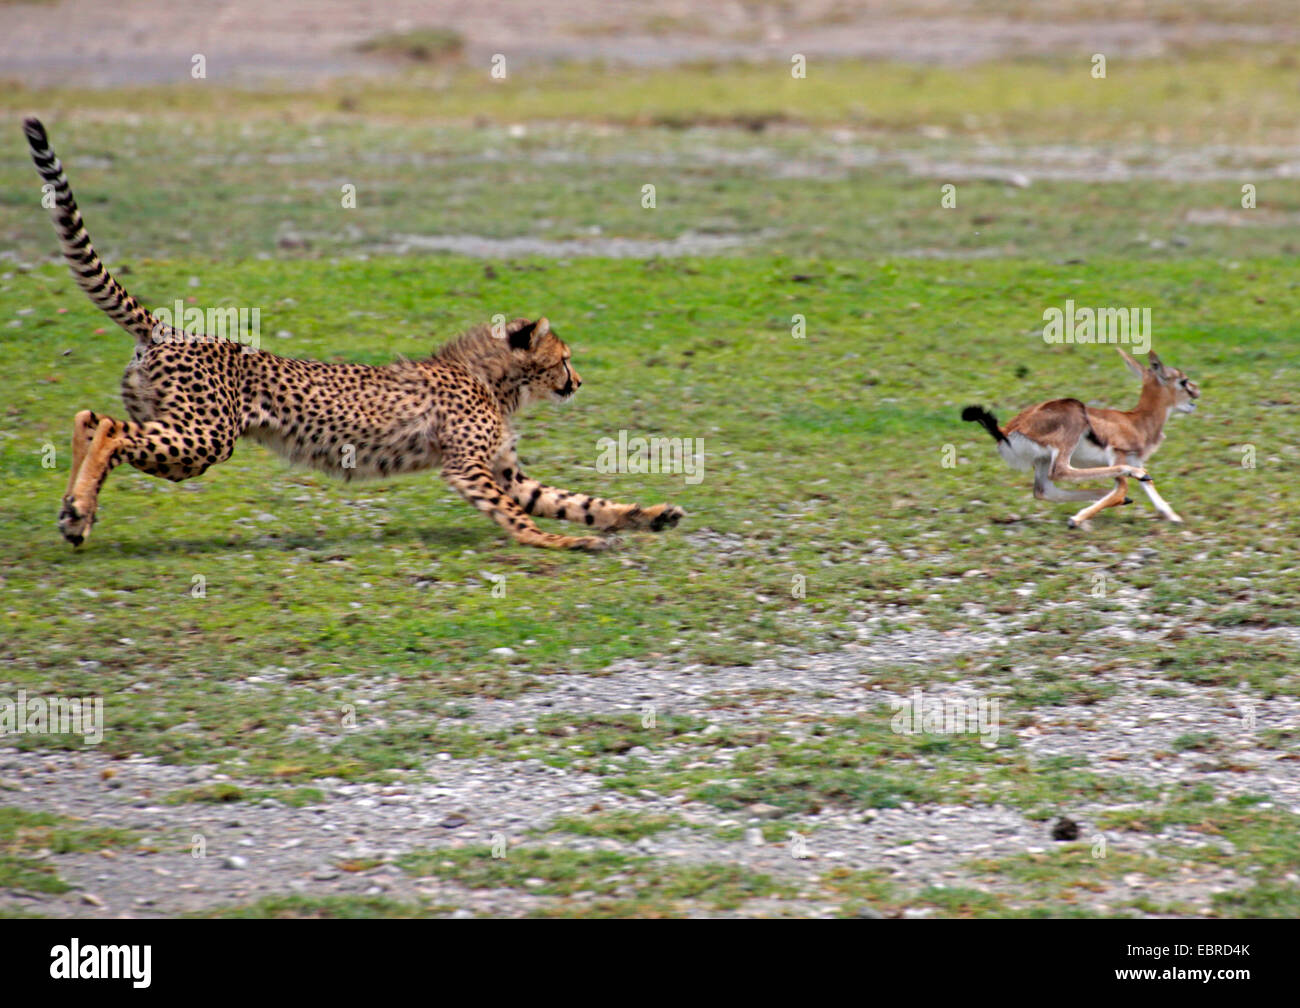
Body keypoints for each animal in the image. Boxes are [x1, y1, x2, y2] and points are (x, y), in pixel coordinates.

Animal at [22, 122, 691, 556]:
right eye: (565, 358)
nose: (578, 381)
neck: (493, 379)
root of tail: (174, 328)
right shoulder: (469, 467)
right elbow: (521, 517)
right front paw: (557, 541)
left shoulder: (505, 469)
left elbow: (578, 498)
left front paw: (651, 515)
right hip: (203, 436)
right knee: (107, 429)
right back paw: (79, 511)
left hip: (177, 426)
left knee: (90, 417)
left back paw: (76, 515)